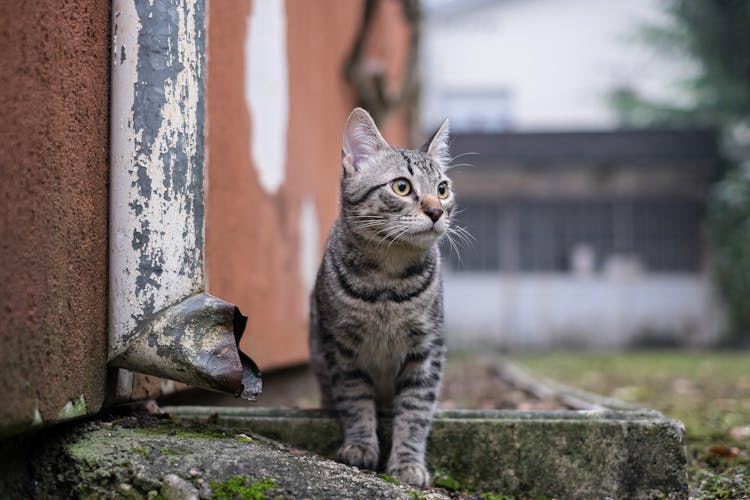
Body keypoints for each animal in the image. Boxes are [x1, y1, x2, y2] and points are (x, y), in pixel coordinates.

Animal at [310, 107, 456, 486]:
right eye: (401, 186)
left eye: (442, 189)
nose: (436, 211)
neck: (387, 286)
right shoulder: (341, 347)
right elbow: (355, 399)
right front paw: (361, 446)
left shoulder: (427, 349)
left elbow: (415, 411)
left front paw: (407, 463)